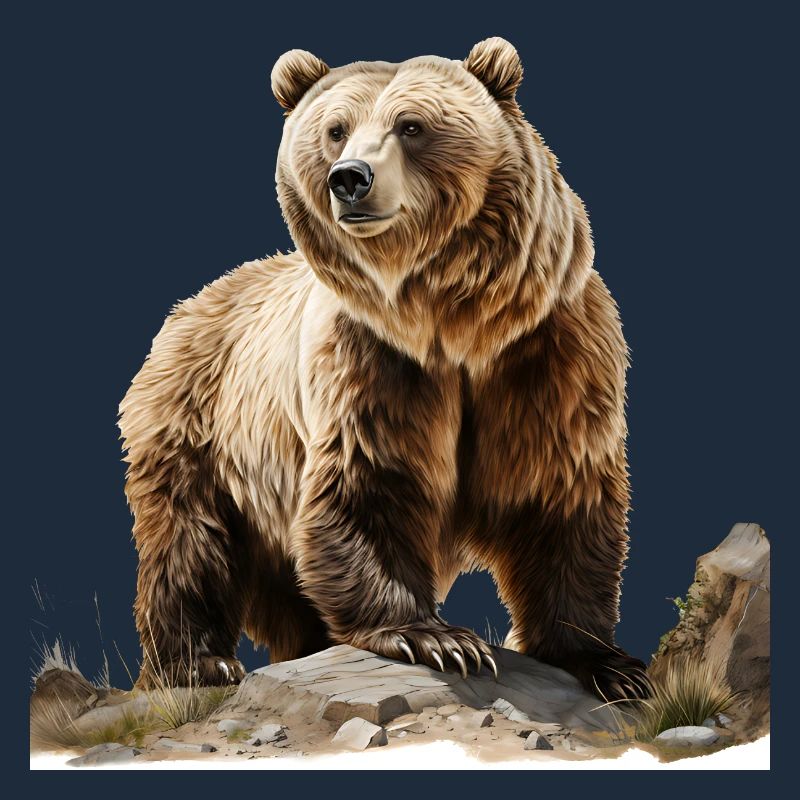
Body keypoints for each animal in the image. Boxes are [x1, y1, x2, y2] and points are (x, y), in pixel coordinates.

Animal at [119, 38, 648, 701]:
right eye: (336, 129)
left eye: (412, 125)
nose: (350, 178)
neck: (452, 324)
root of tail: (187, 309)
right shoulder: (370, 361)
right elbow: (369, 480)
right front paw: (436, 639)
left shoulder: (547, 351)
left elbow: (560, 492)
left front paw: (609, 664)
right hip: (202, 429)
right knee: (189, 542)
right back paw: (197, 662)